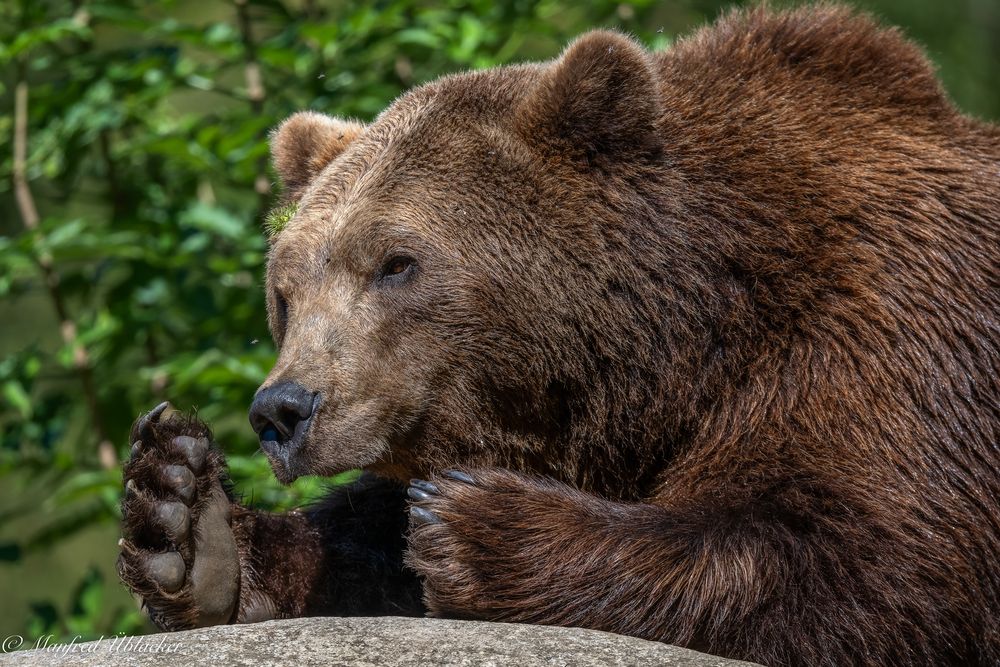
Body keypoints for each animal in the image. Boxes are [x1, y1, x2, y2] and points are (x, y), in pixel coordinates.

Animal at [117, 3, 1000, 664]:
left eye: (396, 262)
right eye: (286, 288)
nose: (283, 409)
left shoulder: (886, 323)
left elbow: (871, 561)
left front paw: (475, 524)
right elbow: (357, 537)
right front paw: (185, 515)